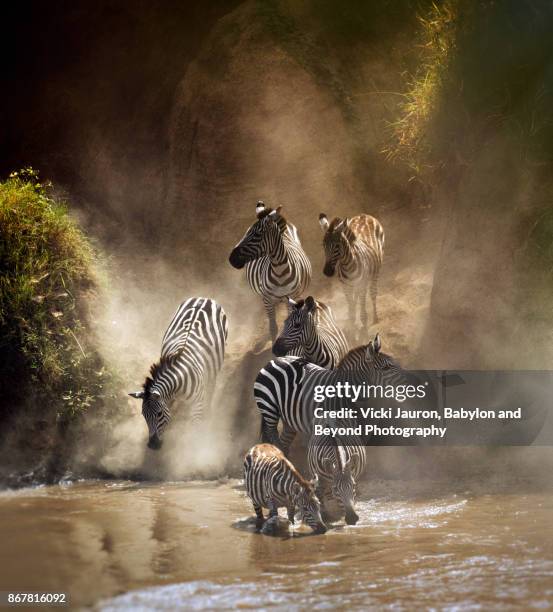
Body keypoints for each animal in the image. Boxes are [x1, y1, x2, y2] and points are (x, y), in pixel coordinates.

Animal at [127, 296, 226, 450]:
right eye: (144, 415)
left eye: (159, 413)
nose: (152, 446)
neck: (178, 384)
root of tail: (204, 298)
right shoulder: (168, 399)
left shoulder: (197, 404)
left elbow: (194, 430)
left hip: (215, 367)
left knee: (211, 386)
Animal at [225, 202, 310, 342]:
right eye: (247, 233)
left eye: (257, 235)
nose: (231, 259)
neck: (280, 271)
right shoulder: (267, 299)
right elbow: (273, 328)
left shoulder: (292, 297)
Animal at [252, 330, 404, 454]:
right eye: (386, 368)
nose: (407, 381)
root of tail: (274, 360)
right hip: (269, 408)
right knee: (273, 435)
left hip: (288, 416)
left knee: (284, 441)